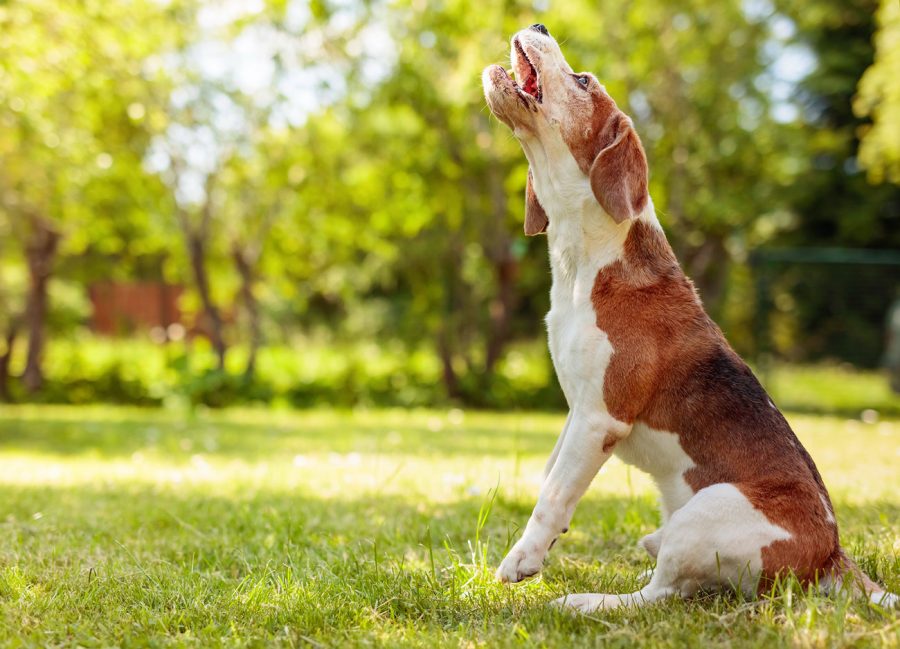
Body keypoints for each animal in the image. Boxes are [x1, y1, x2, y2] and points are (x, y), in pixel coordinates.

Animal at [482, 26, 896, 612]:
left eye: (583, 81)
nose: (538, 27)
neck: (587, 259)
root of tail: (831, 555)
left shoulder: (599, 417)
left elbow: (555, 495)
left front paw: (523, 558)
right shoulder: (576, 410)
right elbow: (549, 477)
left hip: (706, 511)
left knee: (660, 595)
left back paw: (584, 602)